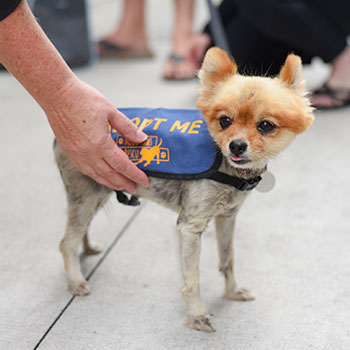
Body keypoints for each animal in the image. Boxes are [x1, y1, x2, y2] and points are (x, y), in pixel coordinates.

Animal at [54, 47, 314, 332]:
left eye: (265, 126)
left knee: (79, 233)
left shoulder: (227, 218)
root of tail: (61, 135)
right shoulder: (190, 227)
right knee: (66, 243)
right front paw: (198, 314)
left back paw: (87, 250)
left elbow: (227, 260)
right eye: (225, 121)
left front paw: (232, 292)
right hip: (86, 198)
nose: (236, 145)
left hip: (93, 197)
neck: (225, 165)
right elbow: (192, 279)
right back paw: (76, 281)